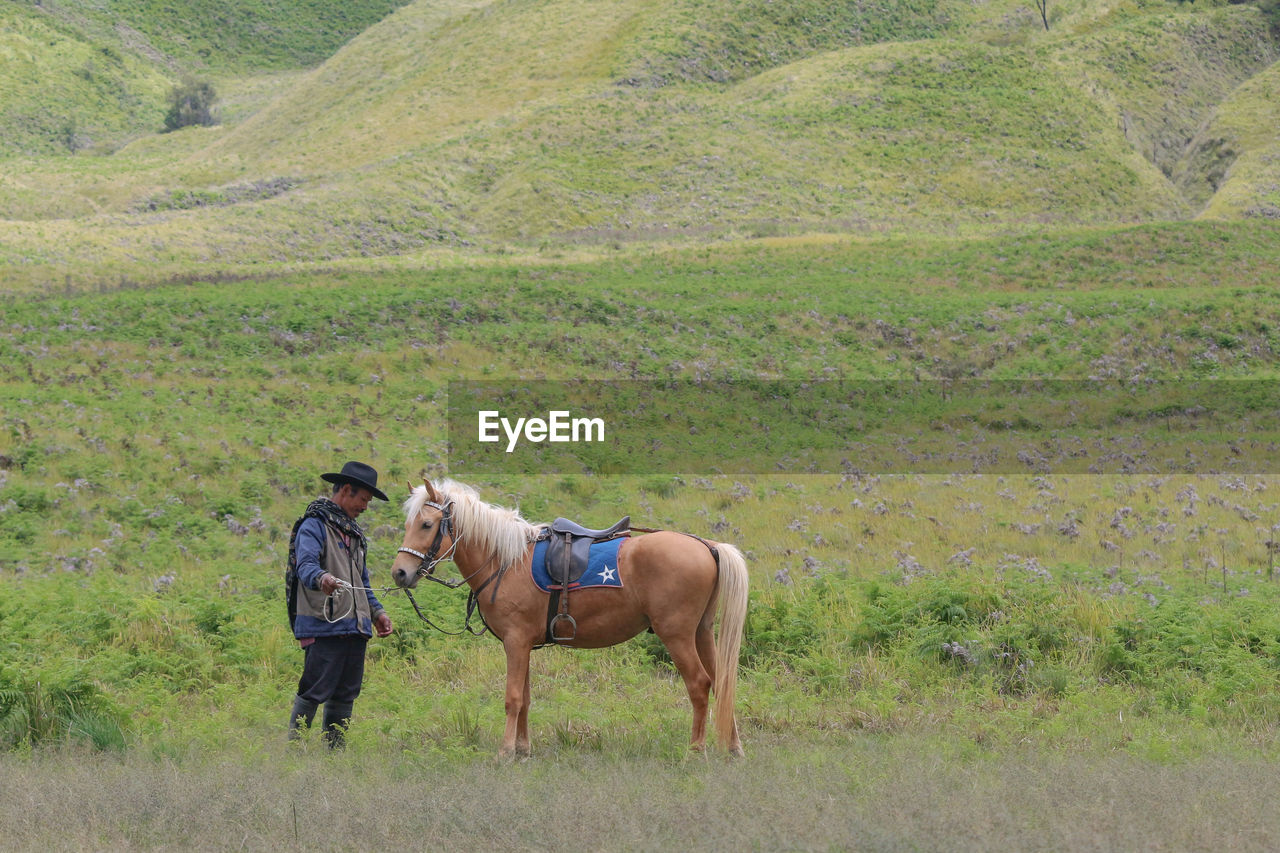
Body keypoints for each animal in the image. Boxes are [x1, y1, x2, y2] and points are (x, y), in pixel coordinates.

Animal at [389, 479, 747, 758]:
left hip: (676, 635)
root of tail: (707, 546)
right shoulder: (523, 645)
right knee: (722, 684)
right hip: (702, 633)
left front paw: (505, 751)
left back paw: (696, 750)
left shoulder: (515, 642)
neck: (506, 561)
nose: (400, 573)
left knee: (699, 685)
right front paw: (523, 749)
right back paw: (732, 748)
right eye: (408, 525)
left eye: (426, 524)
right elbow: (525, 699)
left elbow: (512, 698)